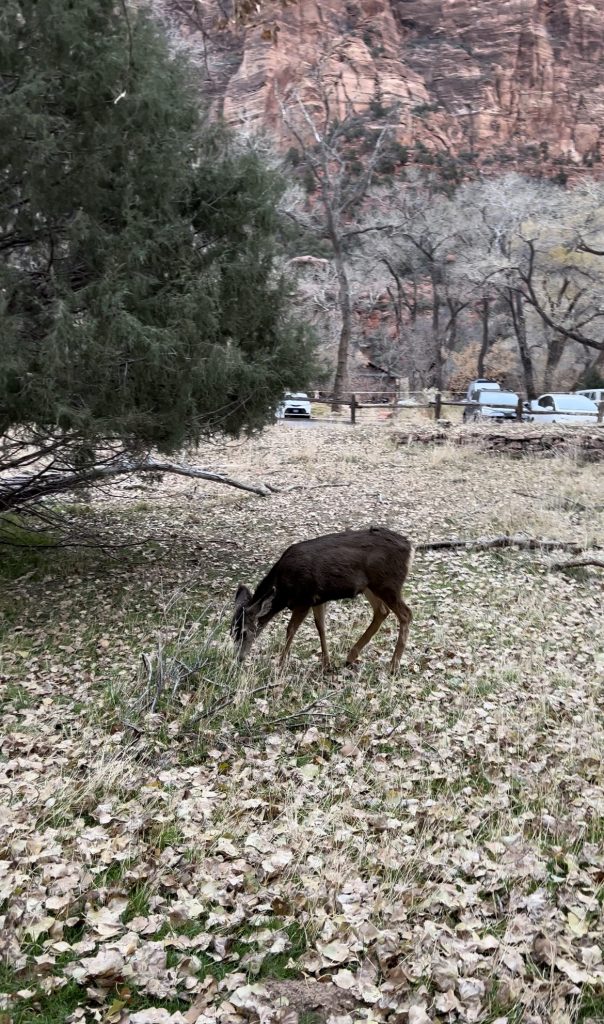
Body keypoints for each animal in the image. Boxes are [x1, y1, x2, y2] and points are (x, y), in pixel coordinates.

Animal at [229, 528, 413, 671]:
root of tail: (409, 547)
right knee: (382, 611)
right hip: (370, 586)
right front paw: (326, 663)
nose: (238, 659)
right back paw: (350, 657)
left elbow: (290, 630)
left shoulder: (304, 599)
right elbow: (321, 627)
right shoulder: (318, 599)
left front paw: (280, 665)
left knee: (406, 614)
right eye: (231, 632)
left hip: (388, 583)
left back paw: (393, 666)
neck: (283, 590)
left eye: (244, 632)